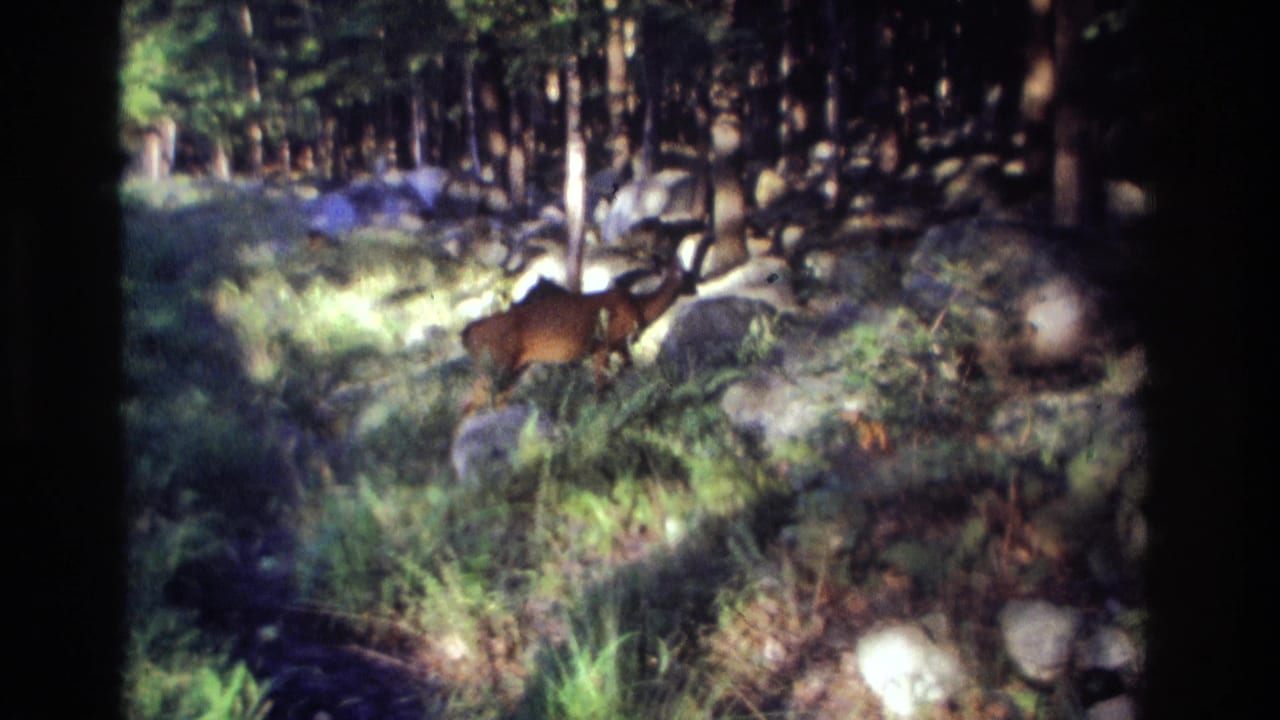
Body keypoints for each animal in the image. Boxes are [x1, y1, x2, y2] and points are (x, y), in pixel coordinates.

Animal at [461, 251, 692, 411]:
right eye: (681, 271)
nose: (693, 286)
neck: (639, 308)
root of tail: (469, 333)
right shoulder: (604, 345)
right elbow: (600, 388)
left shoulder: (618, 346)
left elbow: (625, 369)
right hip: (496, 364)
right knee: (469, 406)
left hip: (512, 368)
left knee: (493, 401)